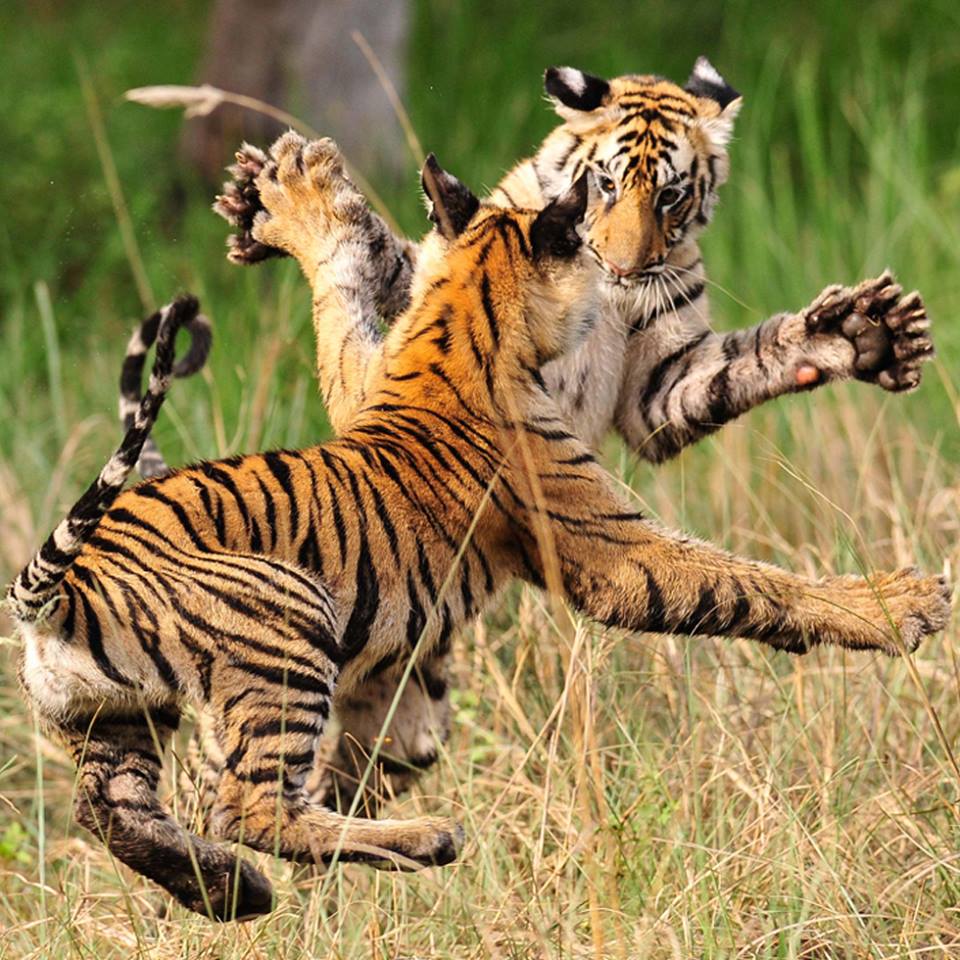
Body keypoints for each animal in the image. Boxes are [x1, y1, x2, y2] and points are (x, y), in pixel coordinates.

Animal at [12, 150, 949, 921]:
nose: (623, 278)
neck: (461, 318)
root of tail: (58, 591)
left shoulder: (367, 371)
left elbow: (344, 315)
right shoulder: (610, 550)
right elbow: (748, 580)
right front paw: (901, 603)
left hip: (113, 722)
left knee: (115, 810)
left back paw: (230, 892)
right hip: (286, 614)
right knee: (246, 804)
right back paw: (418, 841)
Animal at [203, 58, 936, 815]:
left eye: (672, 196)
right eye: (606, 183)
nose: (620, 268)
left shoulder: (662, 385)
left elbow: (743, 366)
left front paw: (860, 332)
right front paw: (281, 198)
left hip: (407, 713)